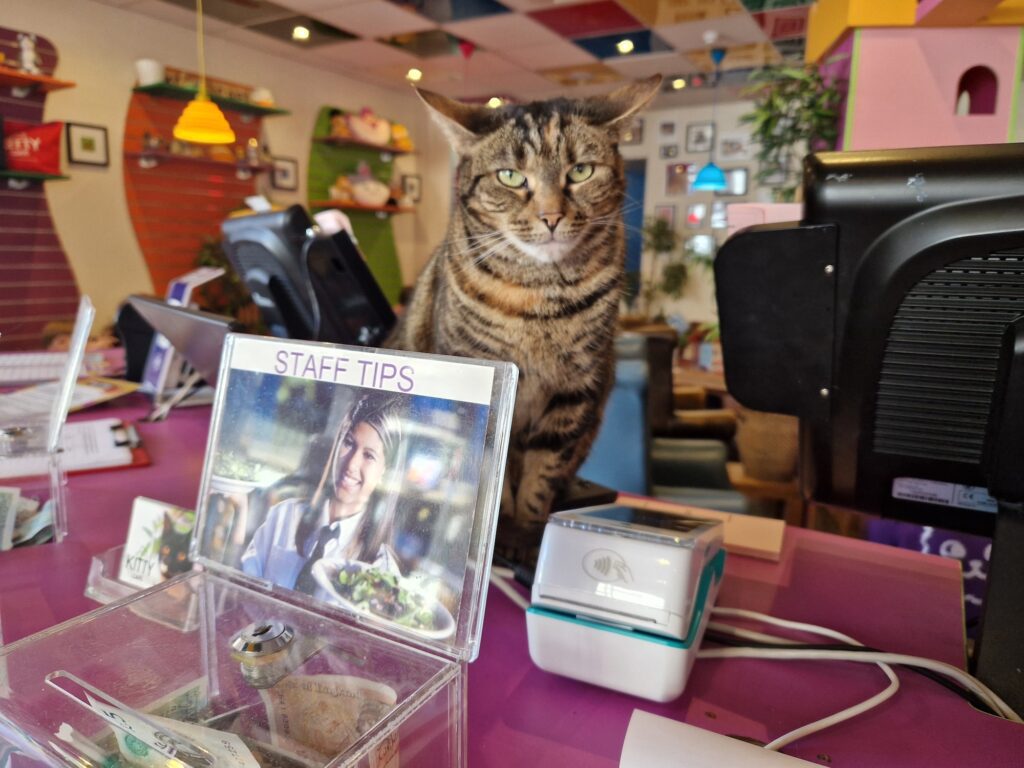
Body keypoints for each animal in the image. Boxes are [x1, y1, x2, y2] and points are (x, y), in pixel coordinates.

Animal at [387, 78, 659, 528]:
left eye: (581, 171)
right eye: (511, 177)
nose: (551, 217)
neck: (539, 298)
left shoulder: (575, 389)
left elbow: (540, 473)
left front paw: (529, 527)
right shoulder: (484, 374)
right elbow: (495, 470)